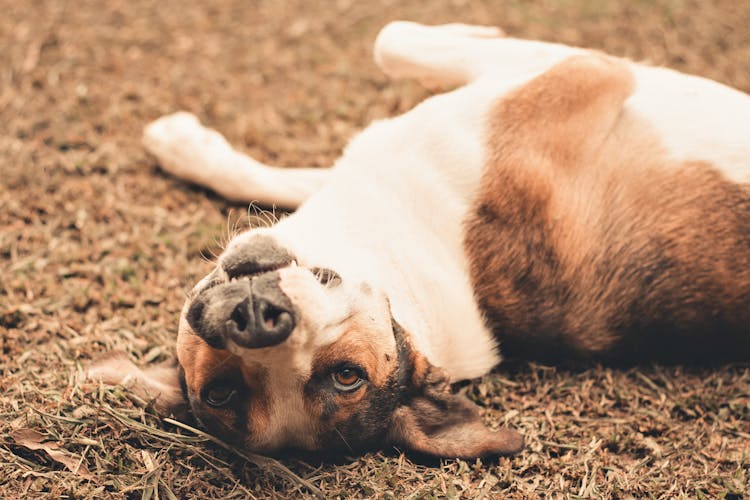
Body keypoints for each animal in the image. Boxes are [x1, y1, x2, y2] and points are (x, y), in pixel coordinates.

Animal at [91, 20, 750, 458]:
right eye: (223, 392)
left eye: (346, 376)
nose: (256, 321)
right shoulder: (588, 73)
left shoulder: (584, 74)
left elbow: (388, 43)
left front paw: (183, 145)